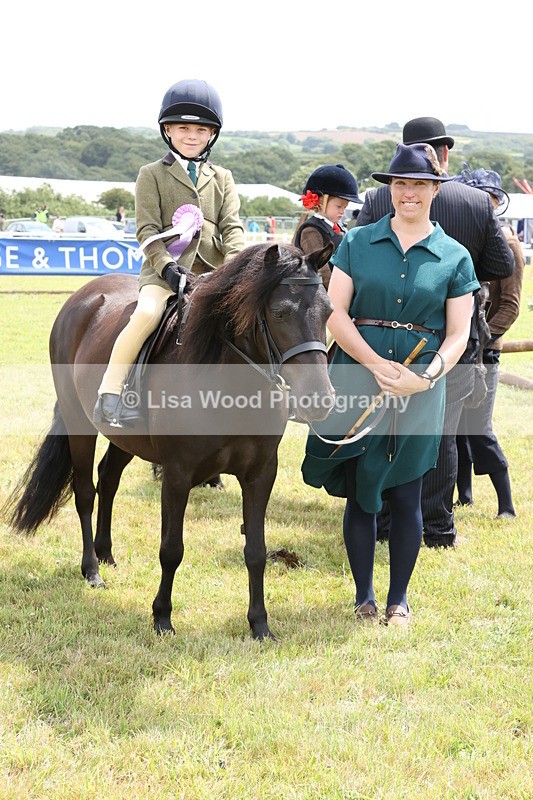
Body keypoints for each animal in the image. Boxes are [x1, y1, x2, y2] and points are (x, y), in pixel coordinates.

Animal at [5, 242, 335, 640]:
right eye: (280, 312)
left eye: (329, 311)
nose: (320, 400)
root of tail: (82, 298)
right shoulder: (178, 474)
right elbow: (171, 549)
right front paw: (162, 616)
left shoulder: (260, 474)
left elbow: (256, 550)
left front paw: (260, 624)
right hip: (77, 421)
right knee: (85, 492)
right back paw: (92, 569)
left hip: (125, 438)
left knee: (108, 477)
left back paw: (106, 553)